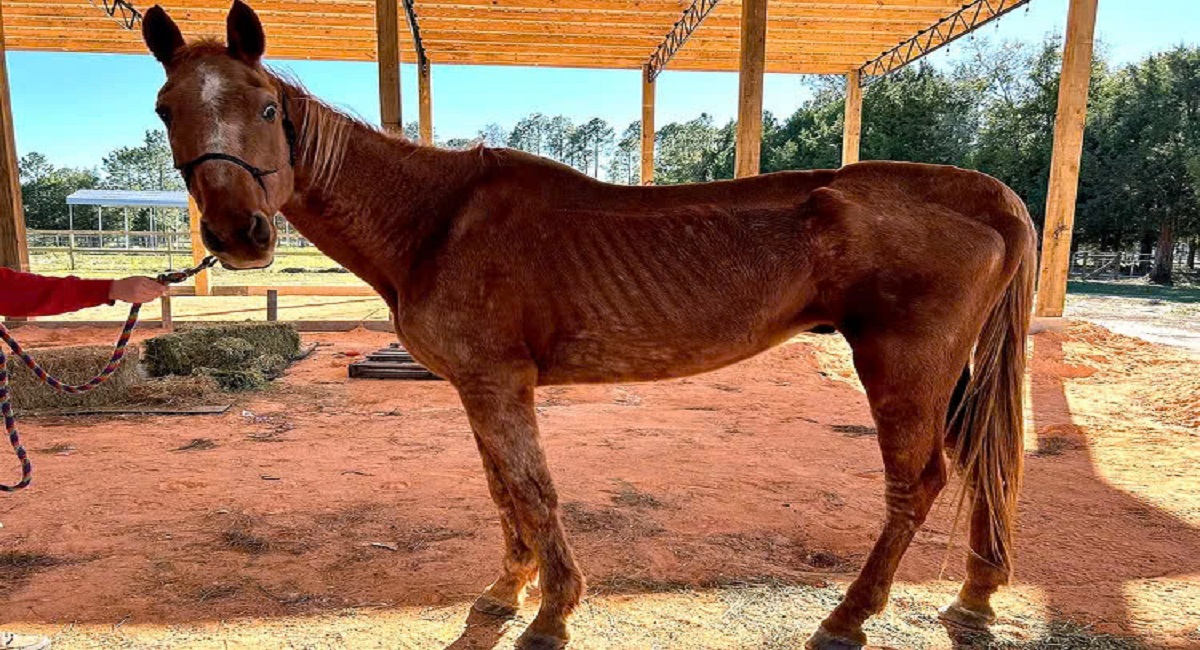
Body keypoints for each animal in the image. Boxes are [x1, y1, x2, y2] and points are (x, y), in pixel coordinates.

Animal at [140, 2, 1036, 647]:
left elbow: (534, 491)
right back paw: (975, 597)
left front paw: (551, 610)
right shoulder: (478, 389)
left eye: (265, 107)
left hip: (902, 366)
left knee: (918, 483)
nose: (238, 233)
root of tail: (985, 193)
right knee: (978, 464)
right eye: (165, 108)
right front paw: (508, 588)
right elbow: (503, 490)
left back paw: (848, 617)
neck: (433, 220)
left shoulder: (500, 383)